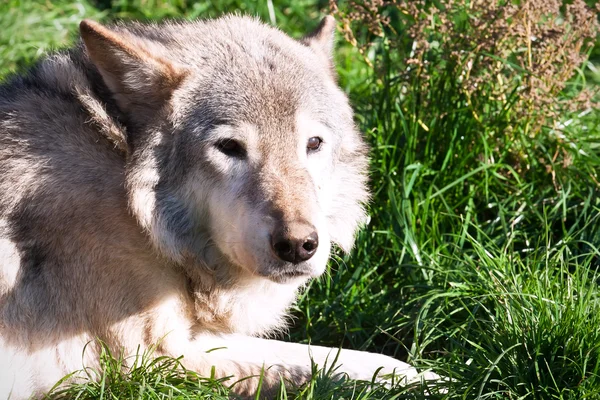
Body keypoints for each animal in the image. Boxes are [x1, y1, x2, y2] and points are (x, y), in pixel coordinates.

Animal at [0, 14, 434, 398]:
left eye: (313, 143)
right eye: (230, 147)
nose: (298, 245)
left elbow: (349, 358)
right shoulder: (151, 364)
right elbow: (333, 365)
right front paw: (429, 384)